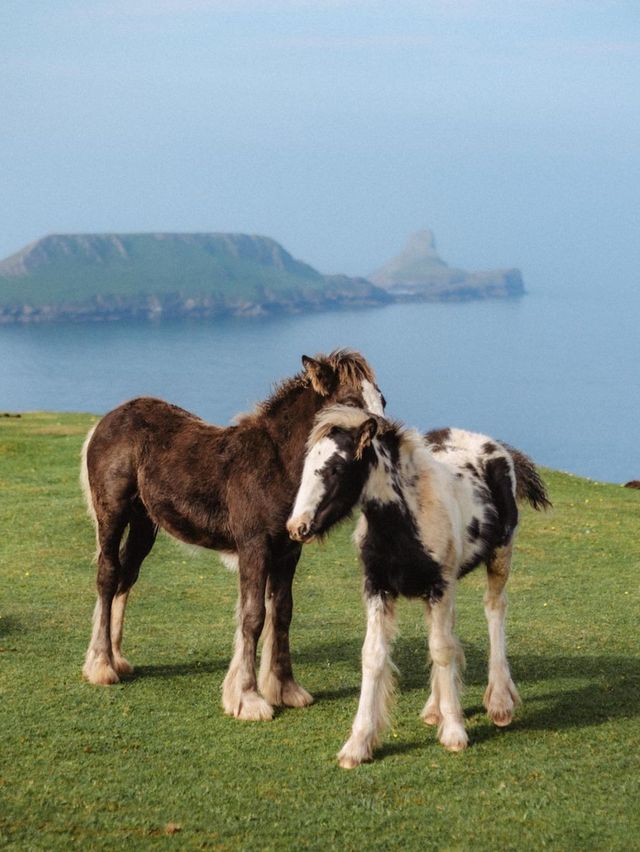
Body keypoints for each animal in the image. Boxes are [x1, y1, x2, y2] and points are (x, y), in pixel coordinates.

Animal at [288, 406, 548, 764]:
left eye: (336, 468)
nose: (296, 527)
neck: (401, 524)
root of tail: (493, 444)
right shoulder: (378, 588)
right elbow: (374, 655)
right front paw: (358, 744)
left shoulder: (438, 586)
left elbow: (441, 650)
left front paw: (454, 733)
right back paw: (434, 708)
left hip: (499, 555)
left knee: (494, 610)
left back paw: (499, 702)